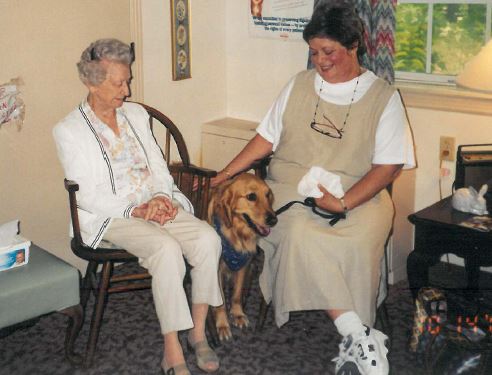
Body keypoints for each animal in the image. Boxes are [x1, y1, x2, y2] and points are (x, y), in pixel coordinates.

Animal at [208, 173, 276, 340]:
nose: (273, 219)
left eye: (268, 195)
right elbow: (220, 302)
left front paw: (238, 315)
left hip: (252, 267)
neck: (236, 234)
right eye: (251, 196)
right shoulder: (216, 270)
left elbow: (237, 294)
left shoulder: (244, 265)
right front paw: (222, 325)